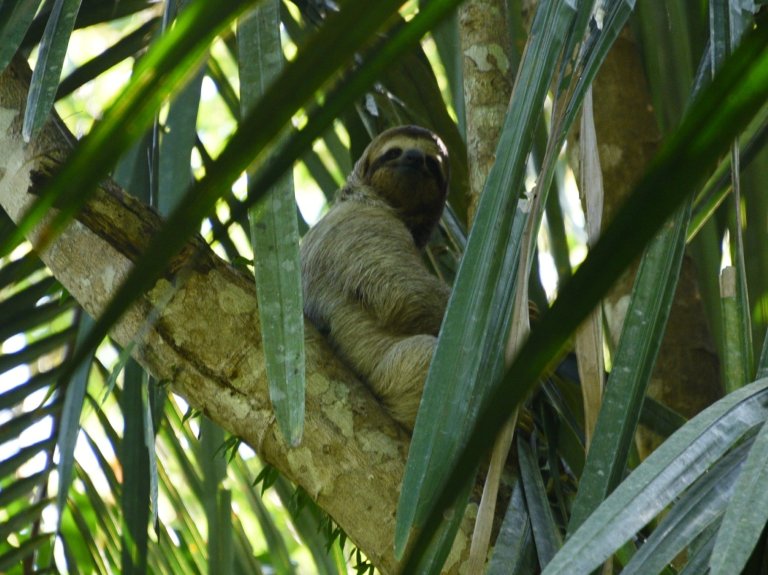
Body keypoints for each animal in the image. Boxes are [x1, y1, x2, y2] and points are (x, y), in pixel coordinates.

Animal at [300, 125, 452, 431]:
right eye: (393, 152)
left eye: (432, 163)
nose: (414, 158)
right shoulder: (368, 222)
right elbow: (404, 293)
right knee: (427, 355)